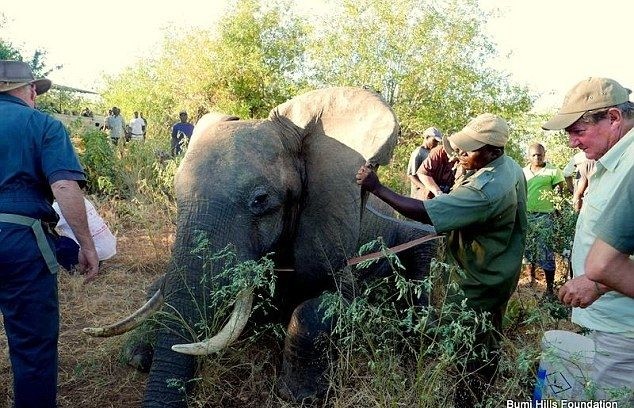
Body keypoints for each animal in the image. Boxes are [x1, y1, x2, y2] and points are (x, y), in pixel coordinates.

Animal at [85, 87, 434, 406]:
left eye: (261, 200)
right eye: (175, 192)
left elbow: (325, 305)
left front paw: (301, 395)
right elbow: (159, 290)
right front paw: (137, 354)